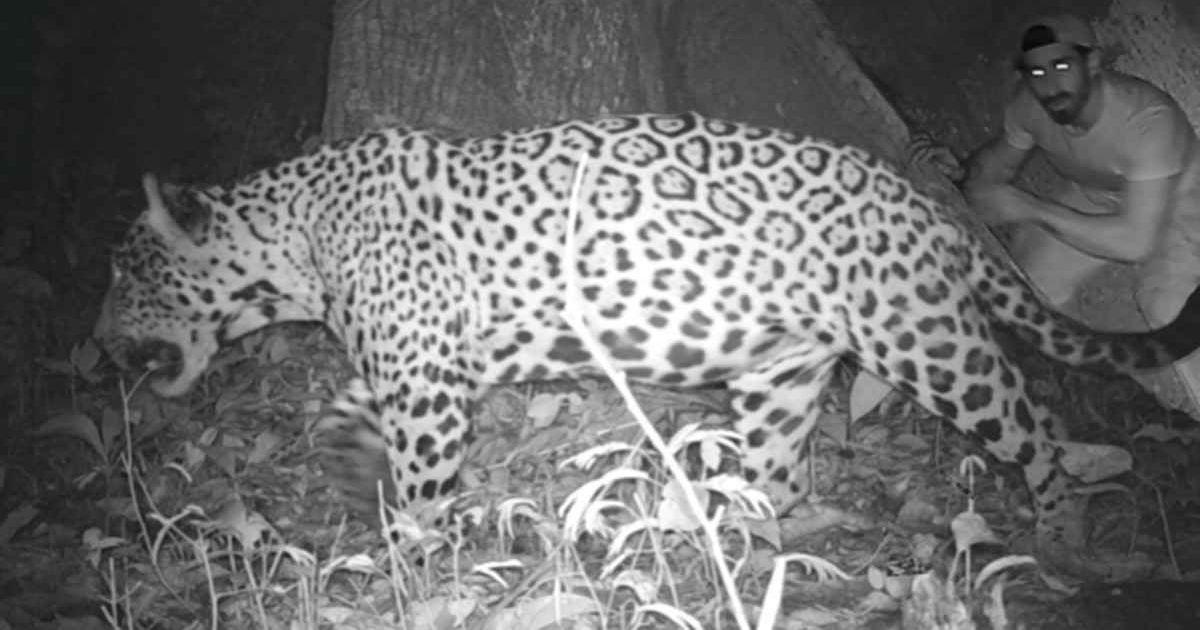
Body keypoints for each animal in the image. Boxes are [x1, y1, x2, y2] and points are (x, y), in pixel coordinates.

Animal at [93, 112, 1199, 566]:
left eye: (125, 276)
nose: (96, 344)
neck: (299, 239)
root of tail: (927, 204)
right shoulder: (430, 363)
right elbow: (353, 407)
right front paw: (340, 448)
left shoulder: (428, 381)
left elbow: (419, 482)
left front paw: (410, 551)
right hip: (781, 376)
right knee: (783, 476)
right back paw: (744, 540)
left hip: (927, 342)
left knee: (1035, 427)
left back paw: (1062, 533)